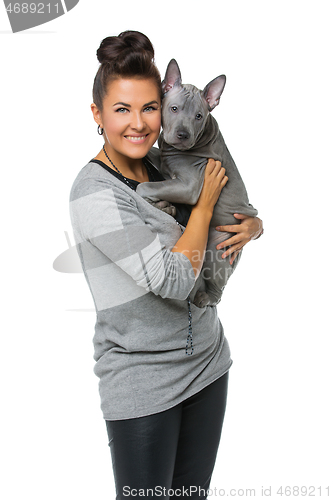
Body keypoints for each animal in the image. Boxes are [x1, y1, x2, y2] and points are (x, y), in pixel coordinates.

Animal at [136, 60, 255, 306]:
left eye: (199, 116)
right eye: (174, 109)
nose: (183, 134)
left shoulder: (189, 186)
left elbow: (143, 186)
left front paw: (160, 205)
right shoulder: (164, 159)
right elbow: (152, 158)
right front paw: (165, 206)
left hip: (216, 249)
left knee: (218, 289)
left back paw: (205, 298)